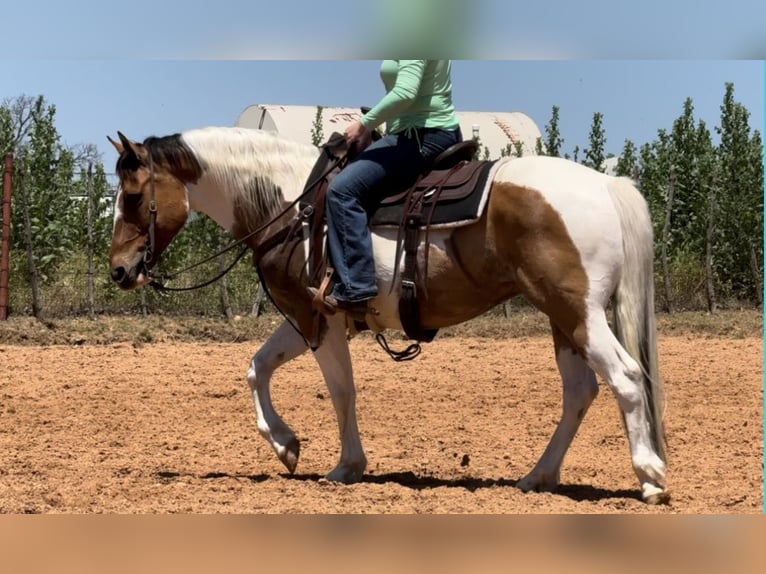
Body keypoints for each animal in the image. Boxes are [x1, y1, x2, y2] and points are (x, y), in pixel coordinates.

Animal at [108, 128, 672, 506]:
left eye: (133, 197)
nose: (119, 271)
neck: (292, 206)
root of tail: (606, 184)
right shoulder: (308, 316)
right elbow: (257, 367)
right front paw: (286, 446)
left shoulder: (316, 318)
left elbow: (340, 390)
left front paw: (345, 466)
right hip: (563, 318)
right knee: (580, 391)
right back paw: (538, 477)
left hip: (577, 312)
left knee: (624, 377)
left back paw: (649, 477)